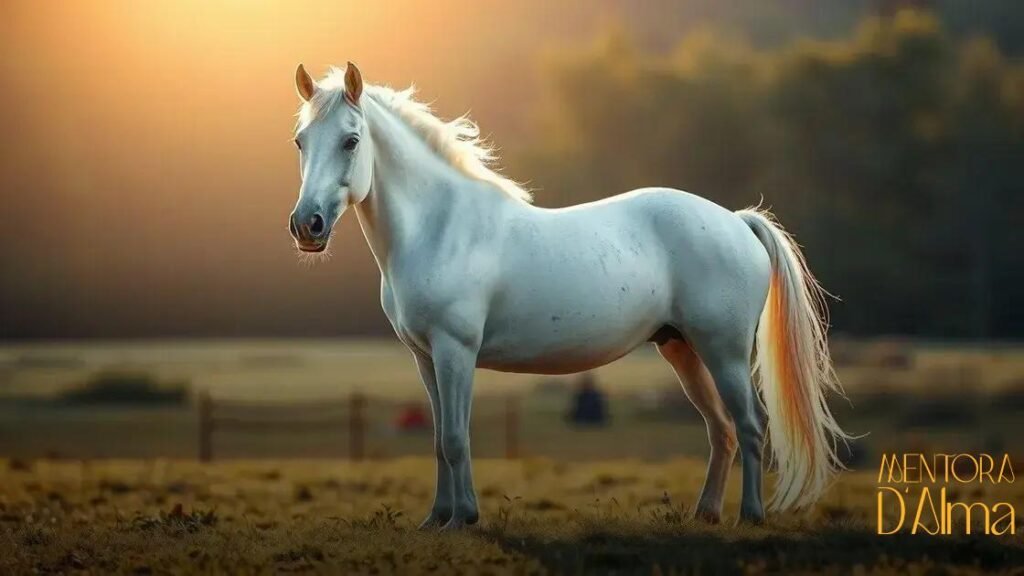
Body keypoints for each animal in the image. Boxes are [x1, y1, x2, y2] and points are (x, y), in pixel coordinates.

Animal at [287, 62, 849, 529]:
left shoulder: (455, 352)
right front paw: (436, 520)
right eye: (300, 142)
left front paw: (464, 518)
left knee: (751, 427)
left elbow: (455, 438)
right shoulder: (425, 358)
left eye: (351, 141)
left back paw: (750, 516)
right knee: (722, 431)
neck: (440, 226)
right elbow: (439, 438)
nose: (306, 226)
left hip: (724, 352)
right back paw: (705, 515)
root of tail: (736, 220)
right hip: (682, 350)